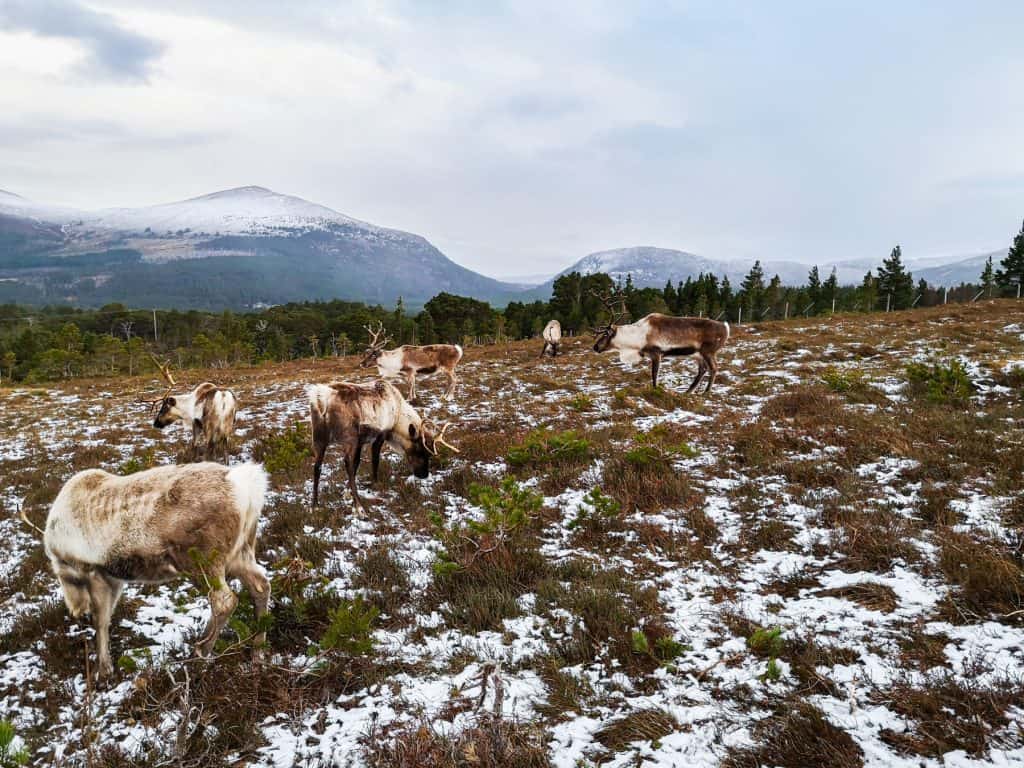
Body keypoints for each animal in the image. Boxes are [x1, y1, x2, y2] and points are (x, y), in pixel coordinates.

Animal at [44, 462, 270, 679]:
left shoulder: (92, 571)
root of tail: (247, 489)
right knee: (261, 586)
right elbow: (106, 618)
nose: (75, 610)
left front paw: (102, 670)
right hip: (241, 552)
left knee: (224, 600)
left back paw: (198, 653)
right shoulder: (114, 578)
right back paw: (257, 652)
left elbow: (99, 620)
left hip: (201, 559)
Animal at [308, 379, 458, 511]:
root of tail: (322, 401)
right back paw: (360, 507)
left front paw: (346, 491)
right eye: (420, 450)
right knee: (347, 464)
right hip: (349, 437)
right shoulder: (380, 435)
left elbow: (357, 463)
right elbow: (374, 460)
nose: (424, 475)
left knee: (317, 467)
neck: (397, 415)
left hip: (319, 438)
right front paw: (375, 482)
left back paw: (315, 504)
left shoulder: (361, 442)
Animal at [591, 291, 730, 393]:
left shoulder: (656, 353)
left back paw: (706, 392)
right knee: (703, 369)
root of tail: (726, 327)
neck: (637, 338)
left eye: (605, 334)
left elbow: (654, 375)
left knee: (714, 368)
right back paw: (688, 391)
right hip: (697, 354)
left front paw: (656, 389)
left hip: (708, 351)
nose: (595, 347)